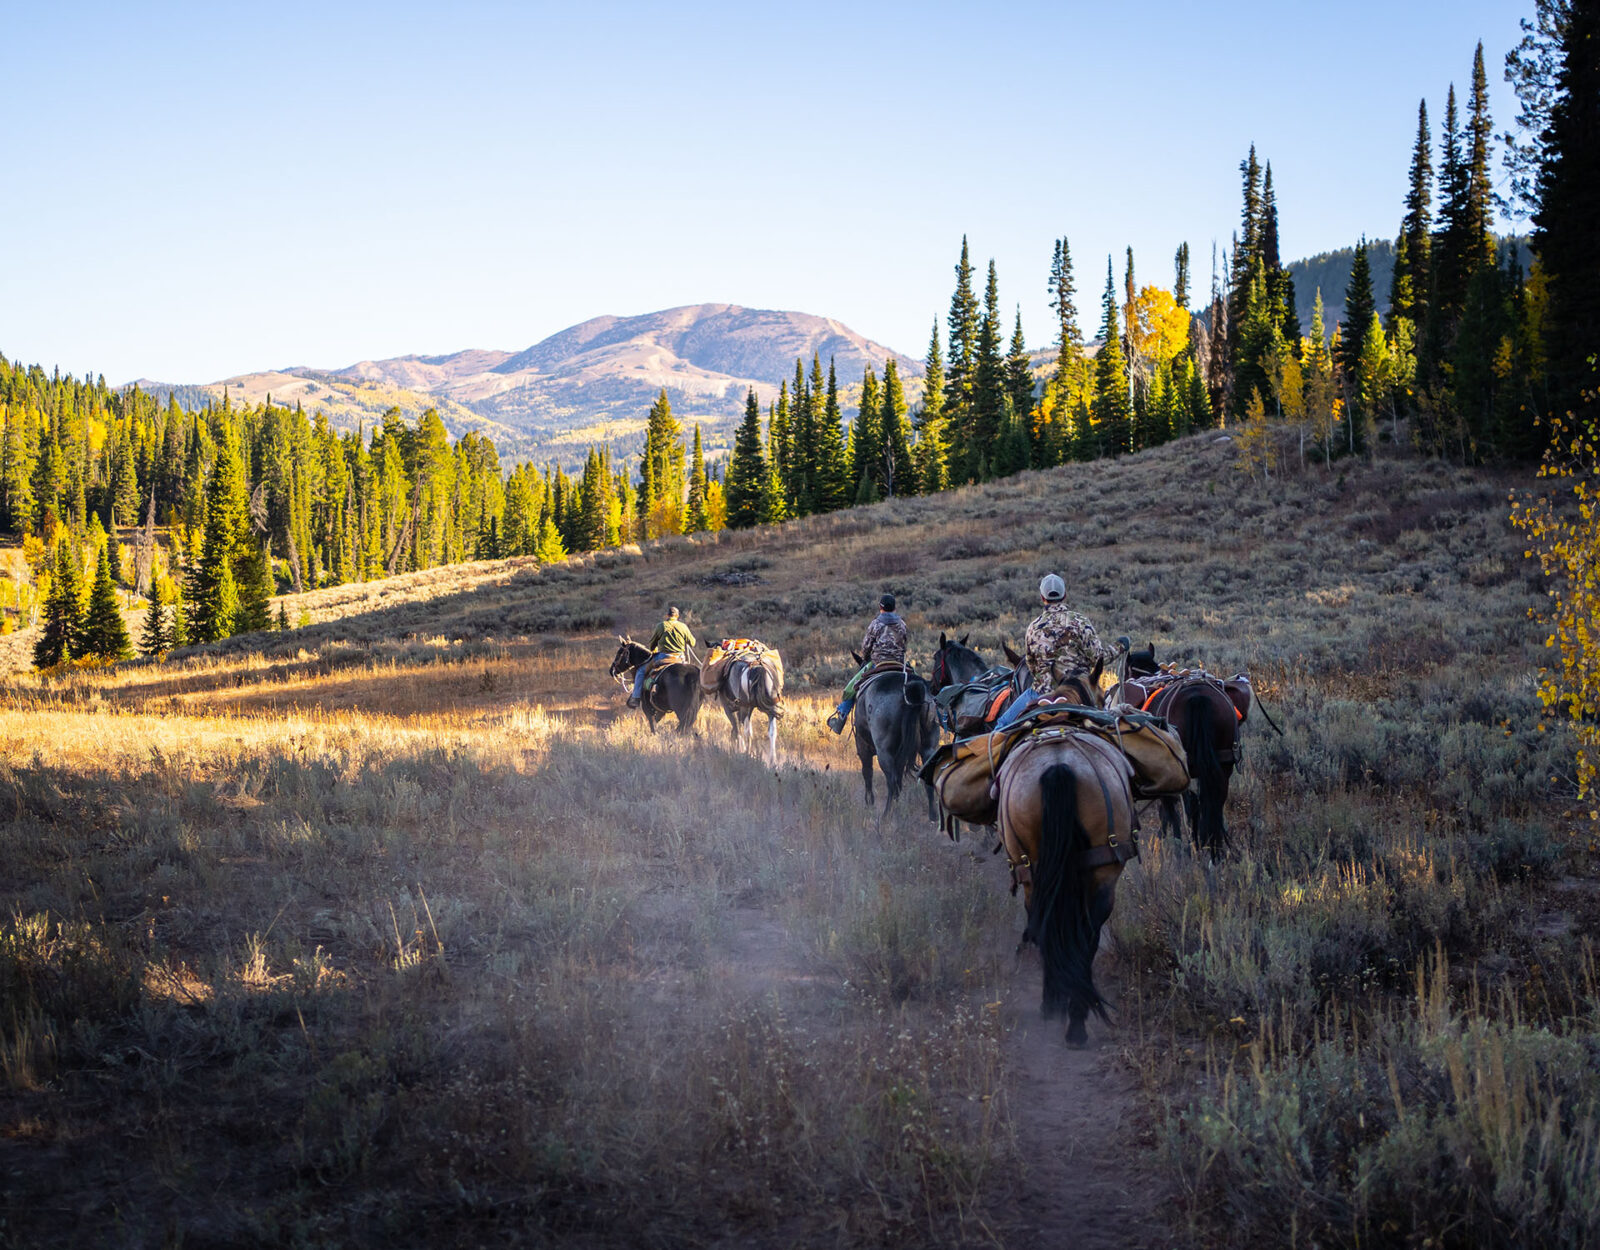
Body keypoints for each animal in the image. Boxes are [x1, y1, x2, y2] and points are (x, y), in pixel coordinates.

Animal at [851, 653, 934, 819]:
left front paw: (869, 803)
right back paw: (933, 817)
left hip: (884, 752)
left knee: (891, 780)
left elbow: (867, 772)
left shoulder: (863, 747)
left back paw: (886, 815)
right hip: (929, 744)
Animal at [985, 662, 1139, 1043]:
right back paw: (1072, 1017)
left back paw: (1065, 1011)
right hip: (1100, 871)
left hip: (1039, 870)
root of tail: (1059, 765)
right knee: (1080, 931)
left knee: (1056, 927)